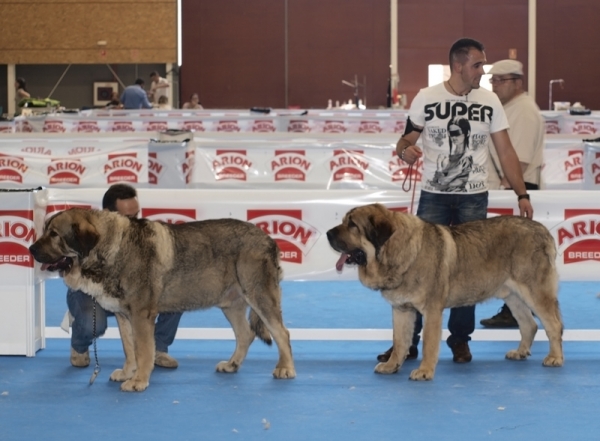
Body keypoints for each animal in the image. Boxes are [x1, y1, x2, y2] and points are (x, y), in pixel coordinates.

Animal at [29, 208, 296, 390]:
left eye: (54, 234)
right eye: (45, 231)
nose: (31, 249)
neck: (112, 249)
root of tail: (268, 239)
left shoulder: (141, 316)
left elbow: (144, 350)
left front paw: (139, 380)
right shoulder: (123, 316)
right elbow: (130, 349)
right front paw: (128, 372)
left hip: (259, 296)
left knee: (281, 333)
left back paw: (285, 368)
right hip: (230, 304)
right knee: (245, 334)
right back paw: (232, 365)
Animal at [326, 203, 564, 378]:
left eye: (352, 225)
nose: (328, 233)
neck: (399, 251)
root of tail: (542, 229)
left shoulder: (431, 311)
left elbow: (429, 343)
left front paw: (424, 371)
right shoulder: (402, 310)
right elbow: (400, 341)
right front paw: (392, 365)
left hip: (535, 292)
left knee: (553, 325)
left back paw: (555, 358)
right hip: (513, 295)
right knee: (529, 324)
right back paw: (521, 352)